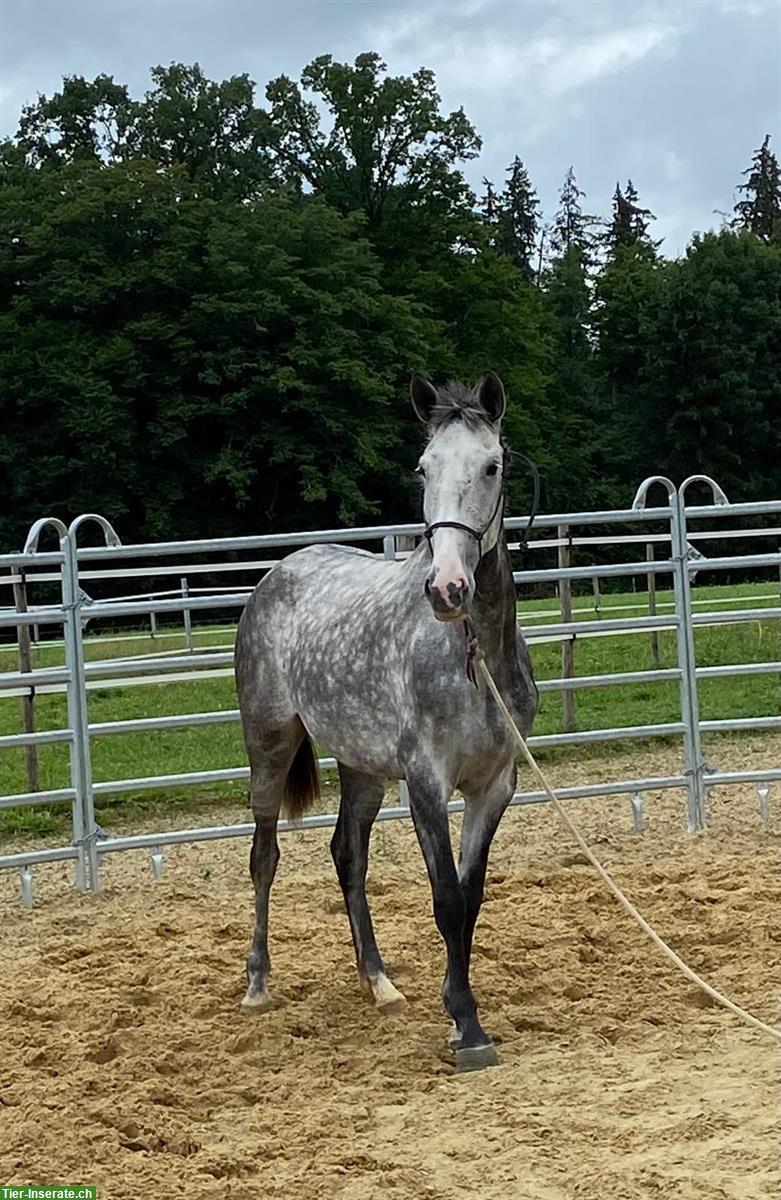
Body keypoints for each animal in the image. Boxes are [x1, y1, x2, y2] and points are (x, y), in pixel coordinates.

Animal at [233, 374, 537, 1070]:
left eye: (492, 465)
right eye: (423, 468)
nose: (448, 588)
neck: (472, 656)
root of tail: (278, 574)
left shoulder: (494, 786)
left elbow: (470, 898)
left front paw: (457, 1014)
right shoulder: (425, 783)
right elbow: (446, 899)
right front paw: (468, 1028)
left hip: (362, 768)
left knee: (347, 854)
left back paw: (378, 983)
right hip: (269, 746)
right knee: (265, 855)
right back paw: (258, 984)